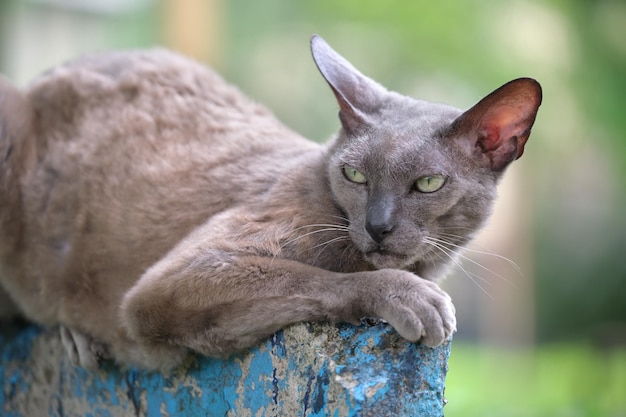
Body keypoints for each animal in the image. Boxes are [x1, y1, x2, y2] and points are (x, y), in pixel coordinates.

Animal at [0, 35, 536, 368]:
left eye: (427, 184)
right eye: (355, 175)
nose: (377, 226)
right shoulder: (167, 284)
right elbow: (320, 278)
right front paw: (412, 298)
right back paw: (73, 335)